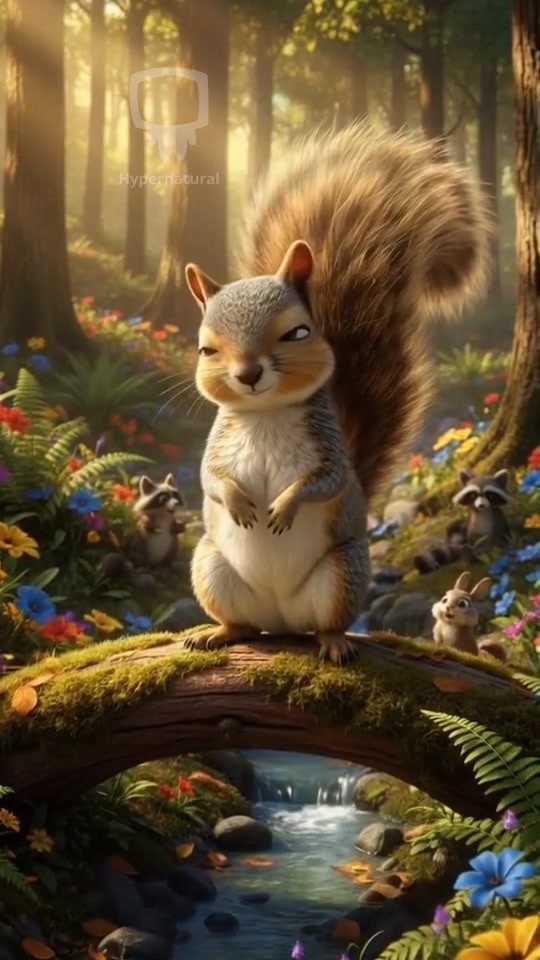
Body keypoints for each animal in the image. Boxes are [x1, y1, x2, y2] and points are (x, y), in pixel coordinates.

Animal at [180, 121, 493, 664]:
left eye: (298, 333)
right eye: (206, 349)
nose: (248, 373)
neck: (266, 412)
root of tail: (283, 619)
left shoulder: (328, 450)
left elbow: (325, 481)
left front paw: (284, 506)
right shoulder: (217, 444)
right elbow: (210, 477)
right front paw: (239, 503)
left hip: (342, 573)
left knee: (327, 621)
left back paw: (333, 642)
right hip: (213, 568)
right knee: (241, 623)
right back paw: (218, 632)